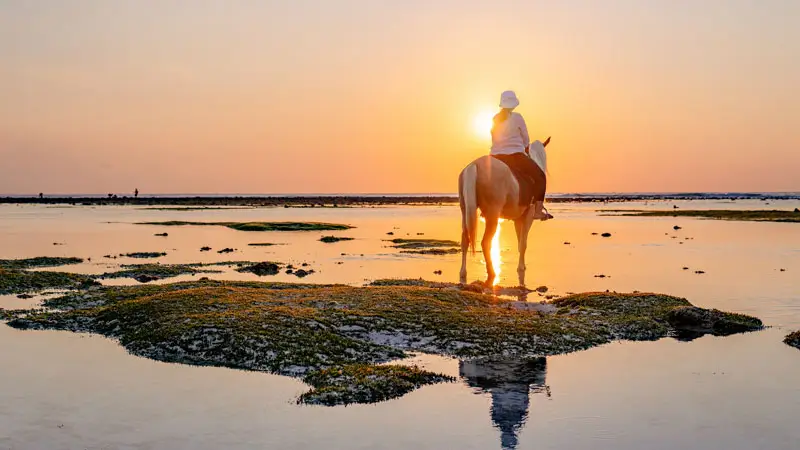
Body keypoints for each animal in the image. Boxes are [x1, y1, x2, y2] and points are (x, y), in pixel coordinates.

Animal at [460, 139, 548, 286]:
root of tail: (475, 165)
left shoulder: (518, 219)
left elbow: (520, 243)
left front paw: (522, 266)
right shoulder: (528, 216)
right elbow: (523, 244)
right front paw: (521, 268)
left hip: (465, 210)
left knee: (465, 240)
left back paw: (463, 272)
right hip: (493, 215)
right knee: (485, 243)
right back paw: (492, 273)